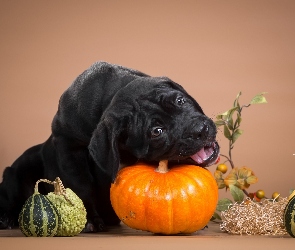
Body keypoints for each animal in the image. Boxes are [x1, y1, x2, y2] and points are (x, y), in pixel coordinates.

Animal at [0, 61, 220, 231]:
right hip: (15, 175)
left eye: (180, 100)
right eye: (157, 131)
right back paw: (7, 218)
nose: (200, 130)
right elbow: (81, 185)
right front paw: (89, 219)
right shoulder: (69, 147)